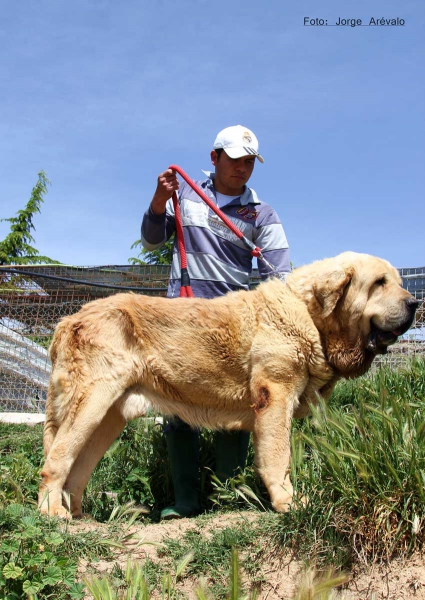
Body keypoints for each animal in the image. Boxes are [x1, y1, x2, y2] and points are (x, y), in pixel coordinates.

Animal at [37, 251, 418, 516]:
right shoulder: (275, 396)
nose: (415, 302)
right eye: (379, 282)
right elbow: (277, 457)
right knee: (56, 460)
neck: (309, 315)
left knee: (77, 469)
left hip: (108, 416)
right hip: (91, 402)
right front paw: (288, 502)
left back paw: (80, 516)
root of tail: (67, 320)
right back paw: (52, 513)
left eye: (398, 281)